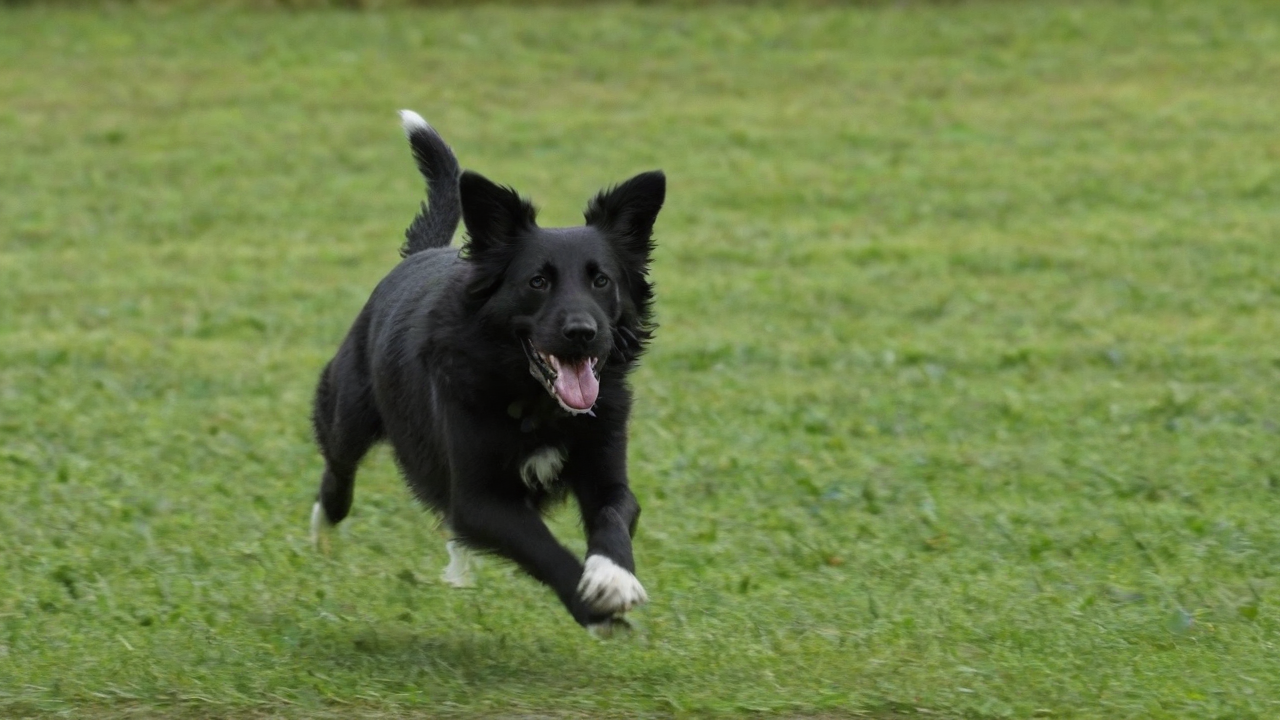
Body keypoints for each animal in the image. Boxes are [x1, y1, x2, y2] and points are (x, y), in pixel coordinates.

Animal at [311, 109, 670, 630]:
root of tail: (420, 254)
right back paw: (323, 525)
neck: (536, 399)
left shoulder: (605, 463)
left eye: (602, 280)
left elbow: (615, 513)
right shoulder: (479, 499)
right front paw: (591, 604)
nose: (583, 332)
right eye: (538, 282)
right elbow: (540, 545)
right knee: (337, 471)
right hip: (347, 412)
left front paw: (612, 577)